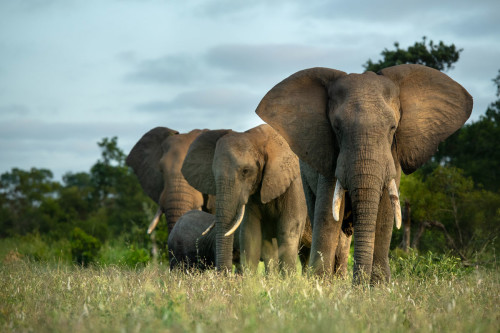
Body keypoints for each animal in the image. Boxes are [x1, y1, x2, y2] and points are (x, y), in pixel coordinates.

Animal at [256, 64, 470, 282]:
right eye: (337, 128)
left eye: (393, 128)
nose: (359, 284)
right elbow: (327, 215)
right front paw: (320, 283)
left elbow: (385, 213)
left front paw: (379, 285)